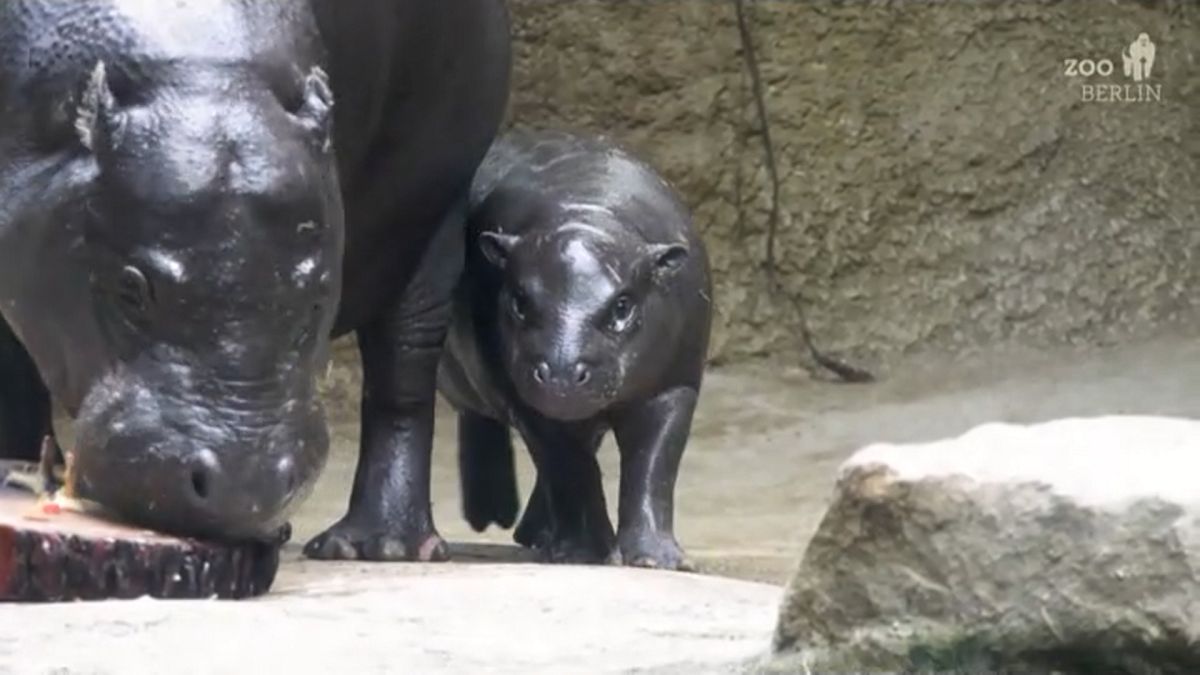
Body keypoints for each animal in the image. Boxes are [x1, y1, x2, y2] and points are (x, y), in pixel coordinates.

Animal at [0, 0, 511, 557]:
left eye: (318, 299)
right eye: (131, 288)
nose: (243, 486)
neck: (201, 71)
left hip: (433, 209)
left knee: (403, 377)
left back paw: (376, 545)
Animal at [441, 127, 710, 566]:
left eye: (622, 305)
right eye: (519, 300)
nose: (562, 373)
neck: (589, 214)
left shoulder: (675, 385)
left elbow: (654, 465)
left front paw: (659, 560)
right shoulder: (522, 398)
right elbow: (570, 467)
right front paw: (584, 554)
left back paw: (531, 532)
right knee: (483, 423)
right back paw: (495, 519)